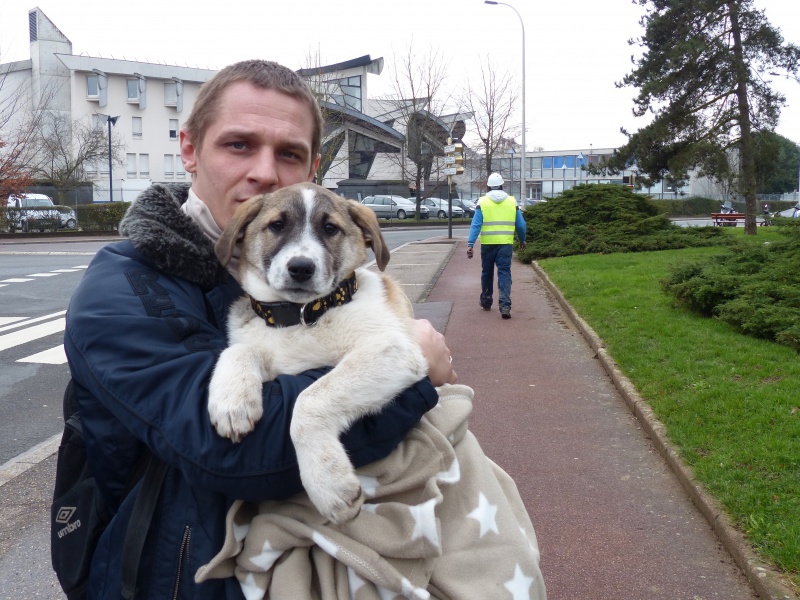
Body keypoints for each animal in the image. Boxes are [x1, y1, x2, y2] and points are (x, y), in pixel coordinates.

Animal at [209, 183, 428, 524]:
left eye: (330, 228)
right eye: (277, 225)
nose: (301, 268)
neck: (299, 316)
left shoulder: (393, 349)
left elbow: (309, 399)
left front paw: (329, 483)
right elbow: (237, 351)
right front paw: (232, 402)